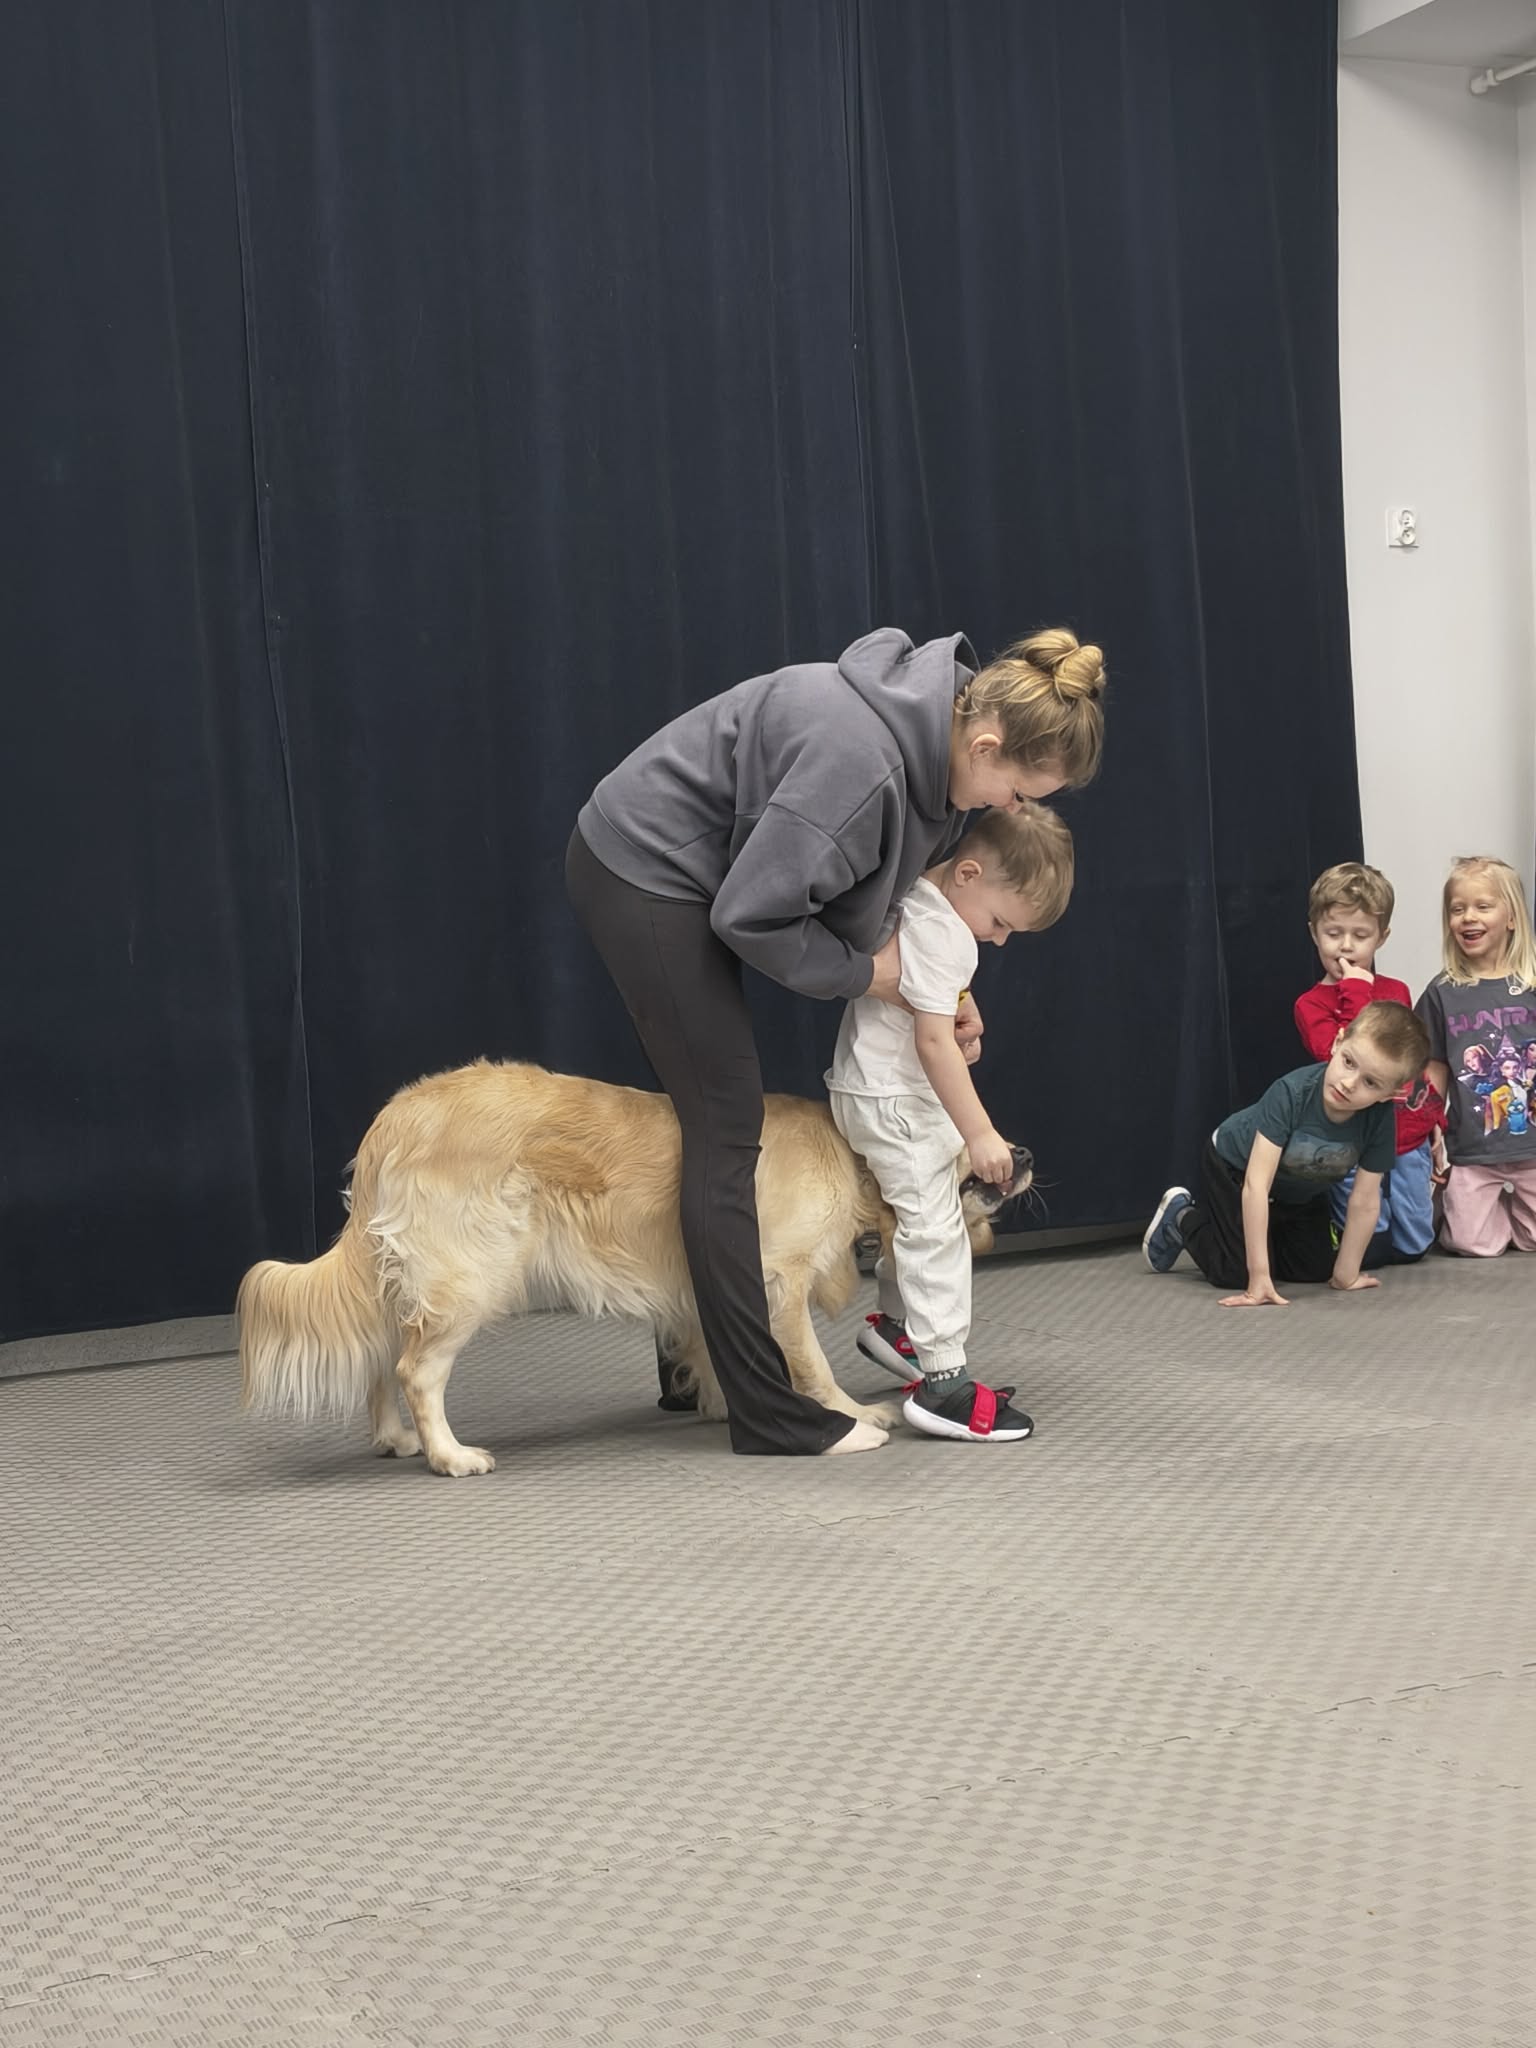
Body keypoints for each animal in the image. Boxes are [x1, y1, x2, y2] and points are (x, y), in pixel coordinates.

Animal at [238, 1059, 1031, 1476]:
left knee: (381, 1357)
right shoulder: (778, 1280)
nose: (1022, 1153)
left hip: (401, 1276)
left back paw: (394, 1439)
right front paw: (848, 1416)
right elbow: (810, 1365)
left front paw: (719, 1400)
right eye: (970, 1128)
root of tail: (395, 1116)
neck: (849, 1155)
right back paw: (448, 1454)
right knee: (415, 1369)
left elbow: (712, 1342)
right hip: (470, 1275)